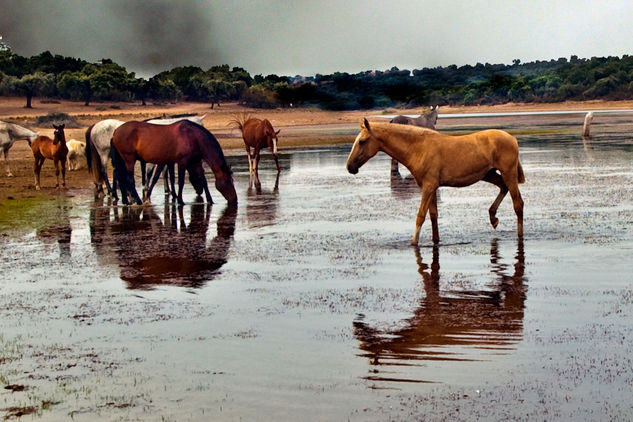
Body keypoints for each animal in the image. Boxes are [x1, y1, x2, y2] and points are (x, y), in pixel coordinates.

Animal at [108, 120, 237, 206]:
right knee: (129, 179)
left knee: (120, 177)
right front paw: (180, 200)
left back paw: (126, 200)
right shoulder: (182, 162)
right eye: (227, 181)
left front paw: (210, 200)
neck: (193, 137)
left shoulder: (195, 161)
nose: (235, 199)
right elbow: (180, 181)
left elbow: (203, 180)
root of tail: (115, 132)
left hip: (122, 160)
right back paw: (138, 200)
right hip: (129, 159)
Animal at [346, 118, 524, 244]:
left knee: (518, 204)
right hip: (489, 174)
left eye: (362, 141)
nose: (350, 167)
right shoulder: (430, 187)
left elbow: (420, 216)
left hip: (508, 173)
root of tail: (512, 139)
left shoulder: (428, 186)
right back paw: (493, 217)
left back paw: (519, 234)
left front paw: (414, 243)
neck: (418, 148)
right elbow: (433, 216)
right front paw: (435, 240)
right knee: (503, 188)